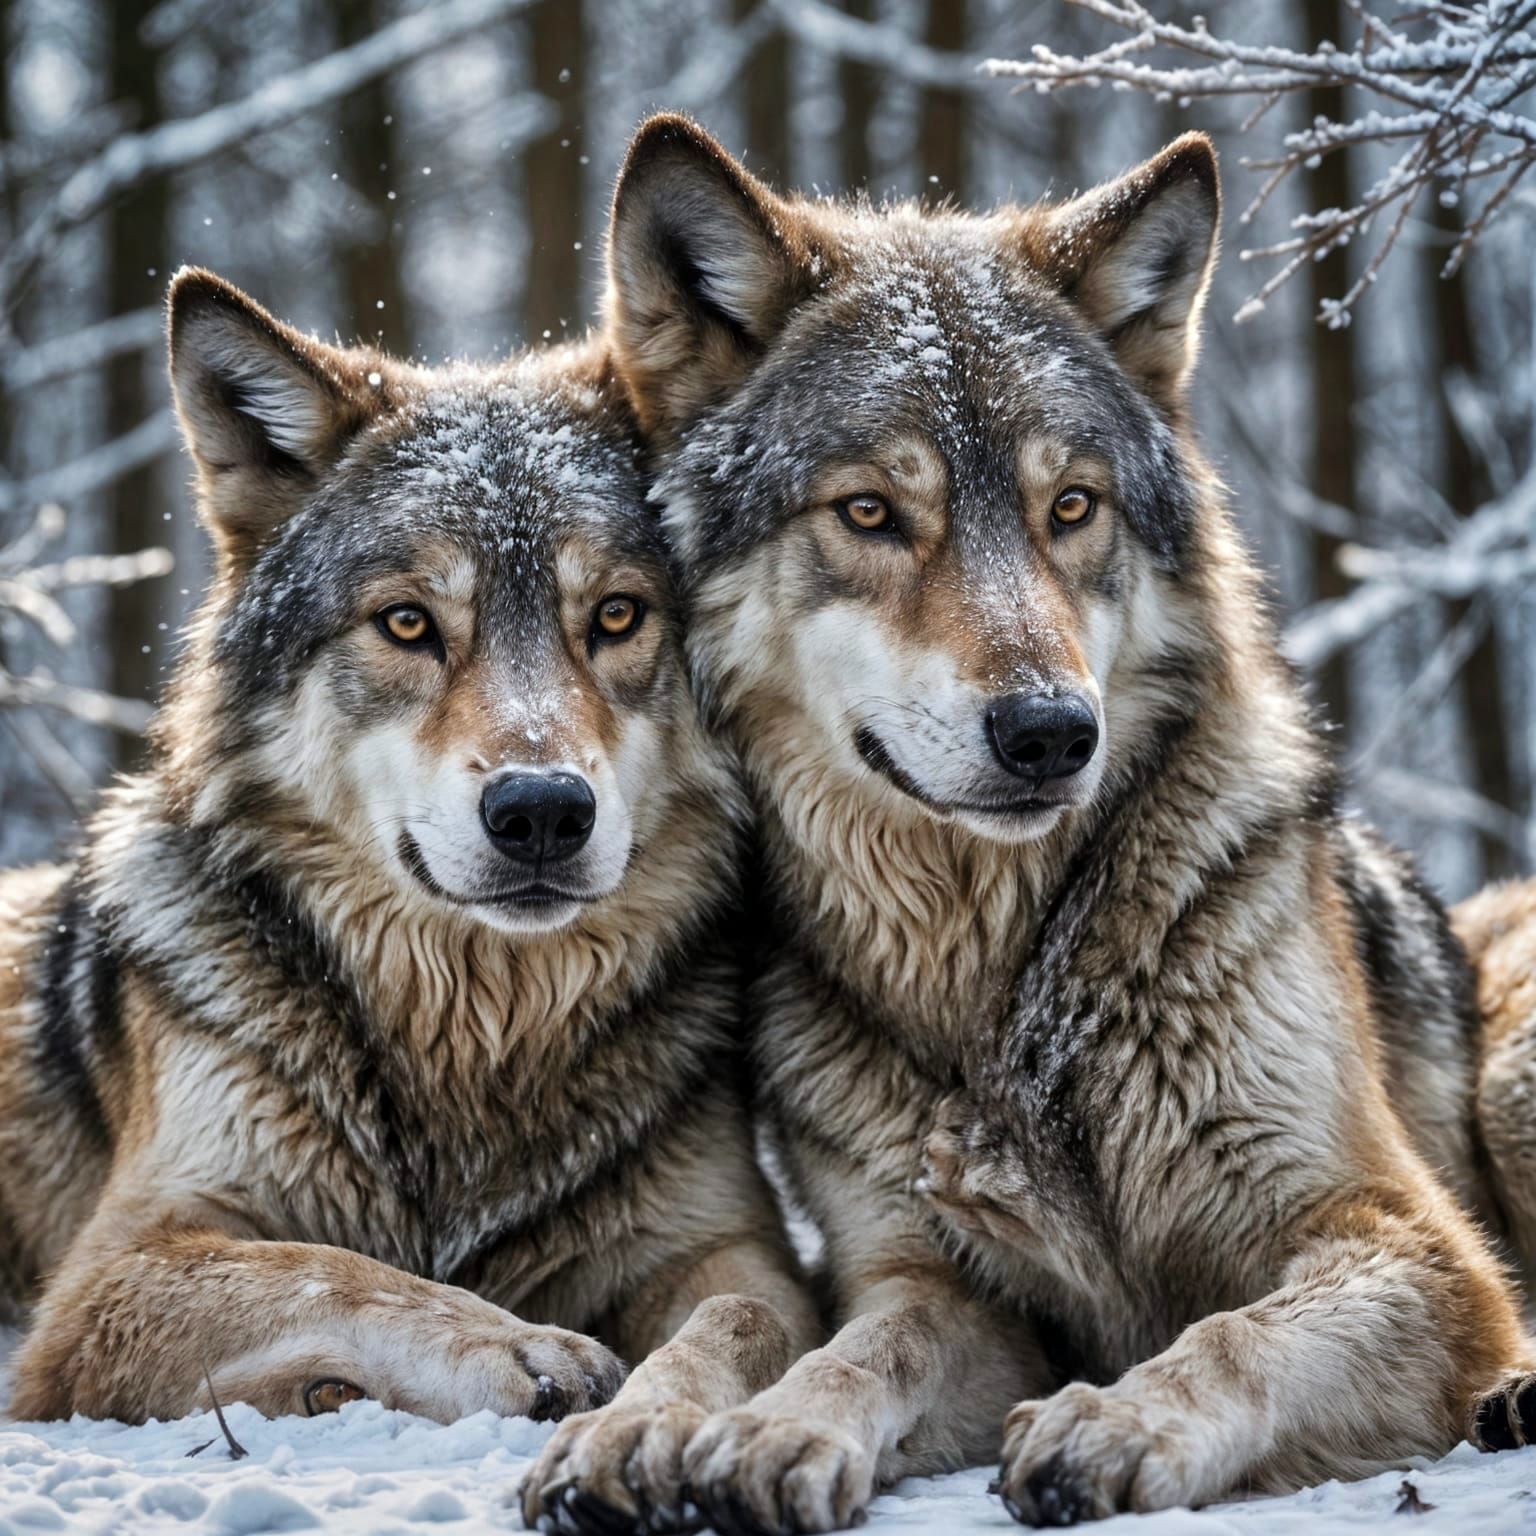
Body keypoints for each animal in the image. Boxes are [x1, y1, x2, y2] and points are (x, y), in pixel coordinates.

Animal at [0, 270, 818, 1482]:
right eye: (407, 623)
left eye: (617, 615)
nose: (542, 811)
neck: (469, 1046)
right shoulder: (107, 1276)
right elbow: (334, 1269)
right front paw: (520, 1348)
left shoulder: (724, 1243)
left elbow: (745, 1316)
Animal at [588, 114, 1535, 1531]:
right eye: (870, 512)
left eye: (1071, 507)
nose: (1050, 733)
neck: (1001, 980)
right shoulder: (938, 1280)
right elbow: (867, 1347)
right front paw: (764, 1430)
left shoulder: (1407, 1242)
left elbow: (1231, 1336)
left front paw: (1116, 1421)